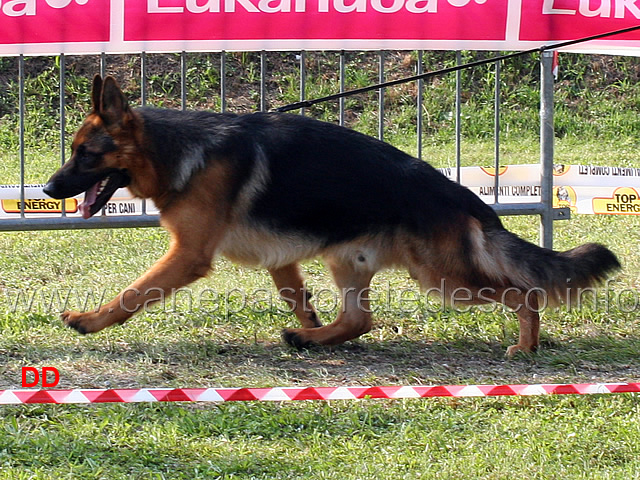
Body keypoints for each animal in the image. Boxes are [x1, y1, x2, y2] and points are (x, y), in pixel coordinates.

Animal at [43, 76, 620, 356]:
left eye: (85, 154)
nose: (48, 188)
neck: (176, 151)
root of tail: (463, 197)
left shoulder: (188, 256)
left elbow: (133, 294)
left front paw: (89, 321)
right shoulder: (280, 259)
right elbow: (298, 298)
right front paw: (308, 325)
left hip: (444, 278)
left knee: (525, 294)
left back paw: (525, 346)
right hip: (351, 263)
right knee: (360, 320)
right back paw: (309, 341)